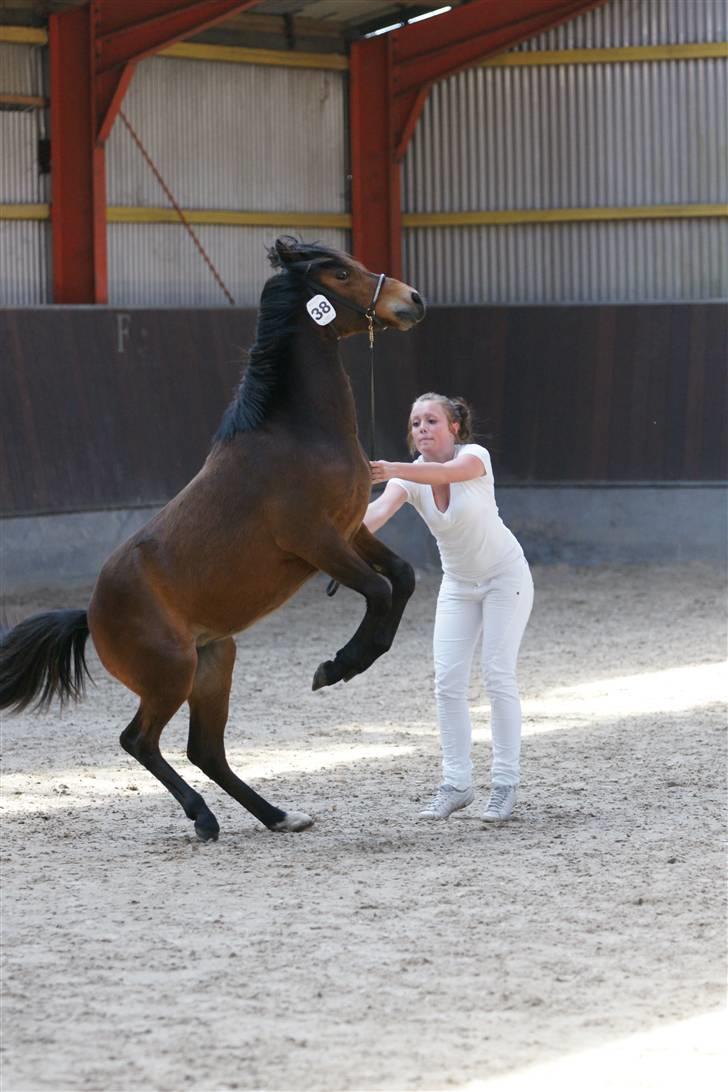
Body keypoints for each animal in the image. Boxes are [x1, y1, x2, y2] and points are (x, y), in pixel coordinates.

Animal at [0, 236, 423, 834]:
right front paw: (338, 666)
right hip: (171, 675)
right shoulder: (318, 542)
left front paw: (346, 663)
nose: (413, 299)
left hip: (214, 663)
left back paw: (278, 816)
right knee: (139, 741)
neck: (299, 434)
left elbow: (403, 578)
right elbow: (382, 591)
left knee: (205, 750)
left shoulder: (352, 529)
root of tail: (91, 613)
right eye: (340, 274)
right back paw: (203, 818)